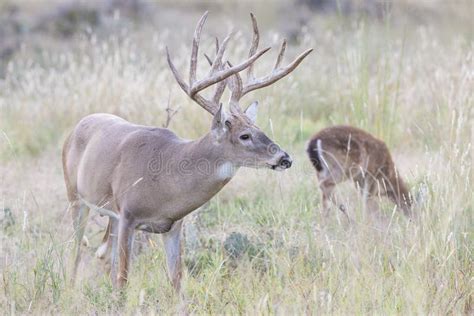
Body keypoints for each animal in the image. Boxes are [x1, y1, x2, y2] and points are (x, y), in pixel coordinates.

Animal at [63, 11, 312, 290]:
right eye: (244, 135)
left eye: (258, 127)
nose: (285, 158)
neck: (166, 176)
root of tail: (76, 126)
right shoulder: (127, 214)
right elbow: (124, 278)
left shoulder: (172, 225)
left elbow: (176, 280)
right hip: (75, 196)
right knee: (76, 250)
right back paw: (70, 288)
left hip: (110, 215)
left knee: (104, 255)